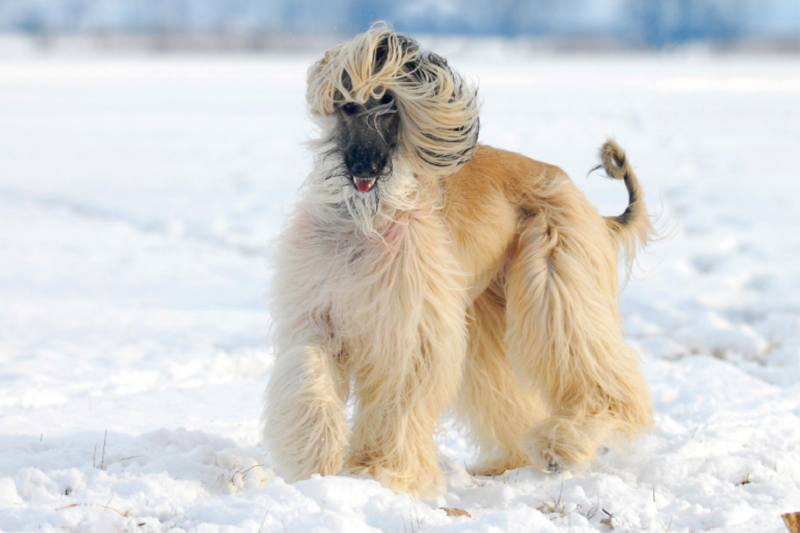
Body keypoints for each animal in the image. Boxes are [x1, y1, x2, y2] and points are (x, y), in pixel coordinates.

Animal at [266, 27, 652, 496]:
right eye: (350, 105)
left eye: (389, 106)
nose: (366, 166)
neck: (364, 221)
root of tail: (580, 197)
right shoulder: (321, 312)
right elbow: (310, 371)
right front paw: (317, 456)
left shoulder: (408, 328)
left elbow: (398, 396)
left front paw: (380, 471)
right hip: (486, 307)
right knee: (507, 389)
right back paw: (510, 461)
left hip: (553, 274)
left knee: (593, 365)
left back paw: (562, 444)